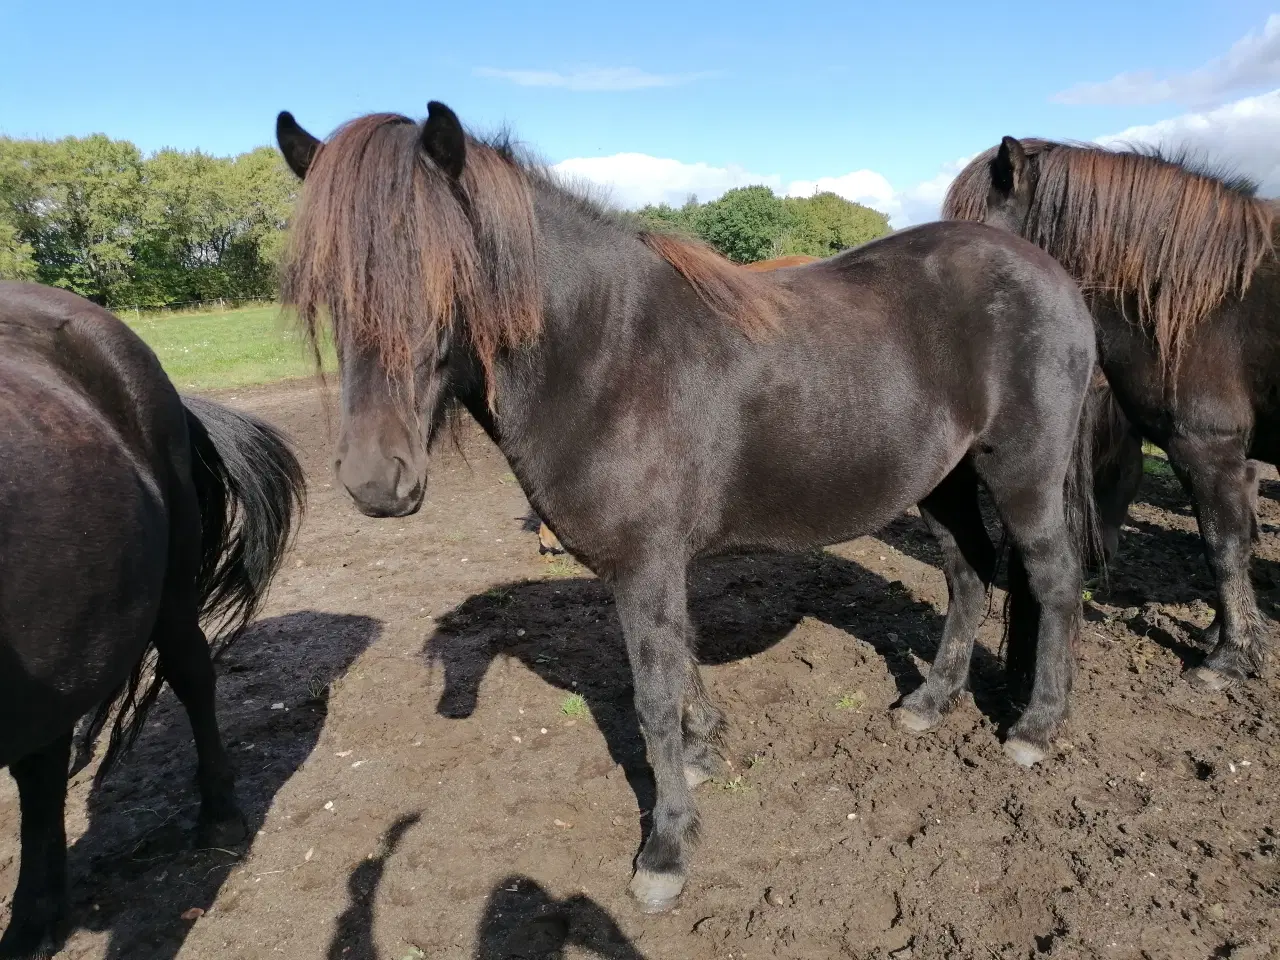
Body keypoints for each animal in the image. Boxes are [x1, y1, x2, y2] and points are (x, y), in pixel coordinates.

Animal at [275, 104, 1095, 916]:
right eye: (329, 290)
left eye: (448, 279)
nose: (375, 481)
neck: (605, 353)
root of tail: (1048, 273)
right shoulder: (650, 566)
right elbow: (679, 665)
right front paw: (706, 747)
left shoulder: (645, 563)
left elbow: (652, 697)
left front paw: (666, 848)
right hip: (944, 481)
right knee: (969, 574)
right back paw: (930, 702)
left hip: (1022, 471)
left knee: (1053, 581)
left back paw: (1035, 728)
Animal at [947, 136, 1274, 691]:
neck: (1198, 302)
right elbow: (1235, 539)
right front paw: (1223, 635)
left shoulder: (1210, 450)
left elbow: (1224, 545)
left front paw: (1230, 656)